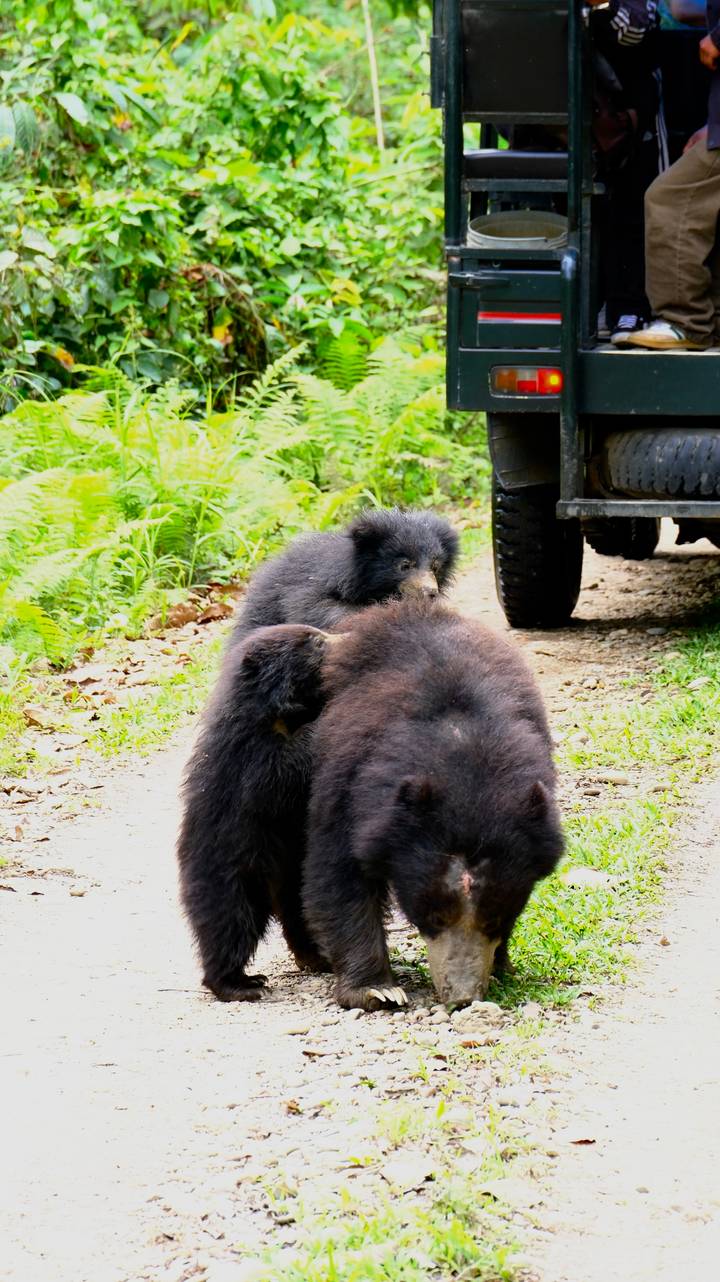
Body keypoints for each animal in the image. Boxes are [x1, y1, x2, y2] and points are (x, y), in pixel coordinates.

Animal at [177, 623, 339, 1002]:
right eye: (315, 642)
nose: (346, 636)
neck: (277, 714)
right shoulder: (250, 758)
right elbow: (285, 770)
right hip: (232, 872)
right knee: (229, 925)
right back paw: (239, 984)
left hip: (291, 875)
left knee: (300, 915)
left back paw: (316, 957)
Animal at [301, 599, 564, 1011]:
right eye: (435, 916)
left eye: (495, 919)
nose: (463, 997)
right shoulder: (352, 785)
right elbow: (339, 872)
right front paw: (376, 990)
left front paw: (501, 965)